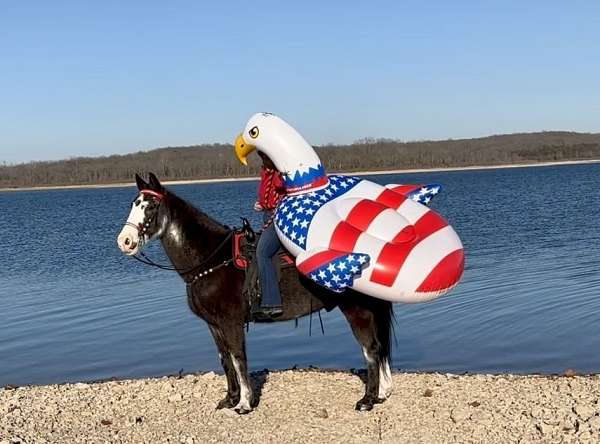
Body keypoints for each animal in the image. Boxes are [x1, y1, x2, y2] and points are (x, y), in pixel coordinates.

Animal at [116, 173, 394, 412]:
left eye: (151, 206)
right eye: (134, 204)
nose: (124, 241)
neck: (212, 259)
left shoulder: (231, 322)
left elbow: (239, 358)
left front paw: (244, 404)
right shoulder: (214, 325)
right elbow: (225, 359)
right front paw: (229, 399)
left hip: (358, 311)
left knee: (370, 350)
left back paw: (367, 400)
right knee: (379, 348)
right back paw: (382, 393)